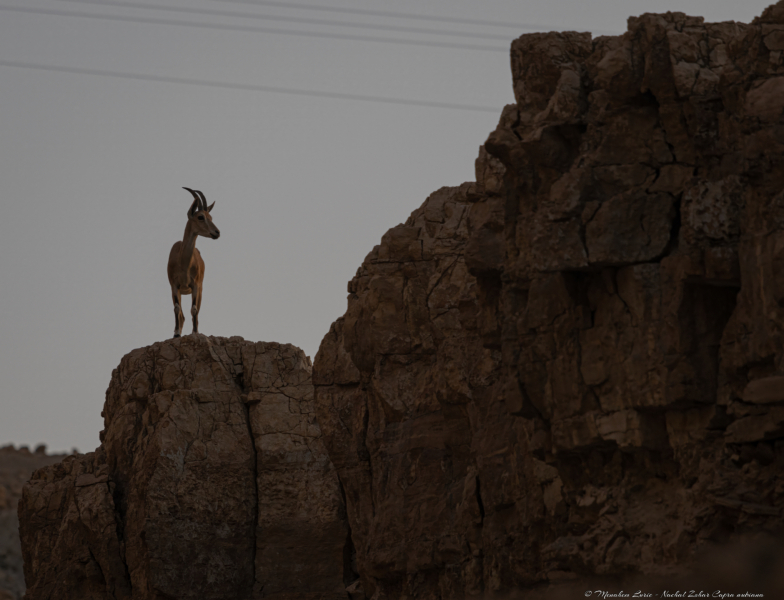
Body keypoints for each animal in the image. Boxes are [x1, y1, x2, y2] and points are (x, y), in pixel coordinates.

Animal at [167, 188, 220, 337]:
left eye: (211, 217)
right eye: (200, 217)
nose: (217, 232)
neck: (183, 263)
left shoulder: (196, 285)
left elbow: (194, 310)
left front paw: (195, 332)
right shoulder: (174, 285)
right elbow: (177, 308)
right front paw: (176, 334)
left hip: (199, 290)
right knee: (182, 315)